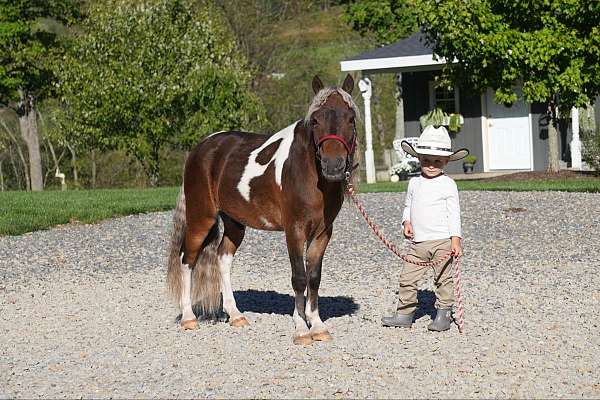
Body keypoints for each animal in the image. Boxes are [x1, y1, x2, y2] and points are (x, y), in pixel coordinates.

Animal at [165, 74, 356, 344]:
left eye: (351, 118)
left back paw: (236, 315)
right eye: (316, 120)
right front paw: (301, 329)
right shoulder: (294, 231)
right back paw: (188, 318)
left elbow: (314, 278)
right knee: (187, 258)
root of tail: (201, 147)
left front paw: (317, 326)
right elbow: (299, 278)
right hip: (201, 218)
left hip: (234, 223)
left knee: (223, 258)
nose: (333, 166)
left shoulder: (322, 233)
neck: (307, 173)